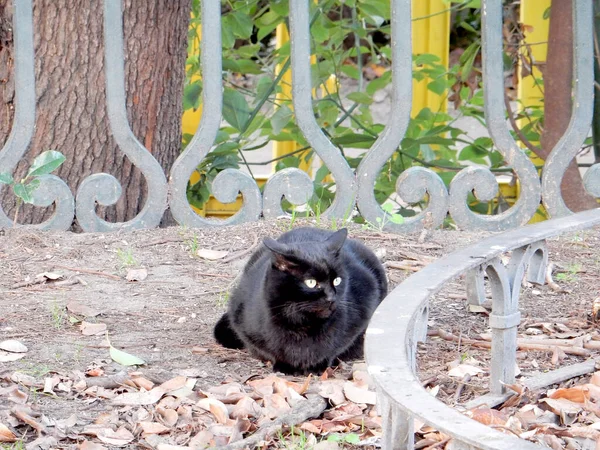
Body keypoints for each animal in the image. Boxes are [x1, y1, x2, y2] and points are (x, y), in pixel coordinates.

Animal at [213, 227, 386, 374]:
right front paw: (285, 365)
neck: (302, 324)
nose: (332, 297)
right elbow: (267, 350)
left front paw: (318, 365)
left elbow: (337, 346)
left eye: (337, 280)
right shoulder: (243, 322)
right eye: (311, 282)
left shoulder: (365, 306)